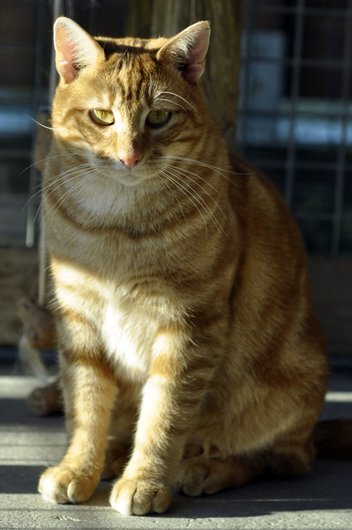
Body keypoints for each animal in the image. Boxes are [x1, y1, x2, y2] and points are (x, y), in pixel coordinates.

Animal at [37, 16, 338, 512]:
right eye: (102, 117)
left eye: (159, 118)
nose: (130, 156)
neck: (116, 224)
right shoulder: (79, 319)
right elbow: (84, 406)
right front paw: (78, 468)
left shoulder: (189, 323)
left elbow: (164, 414)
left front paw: (146, 480)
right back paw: (117, 454)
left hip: (284, 392)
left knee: (281, 457)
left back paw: (203, 467)